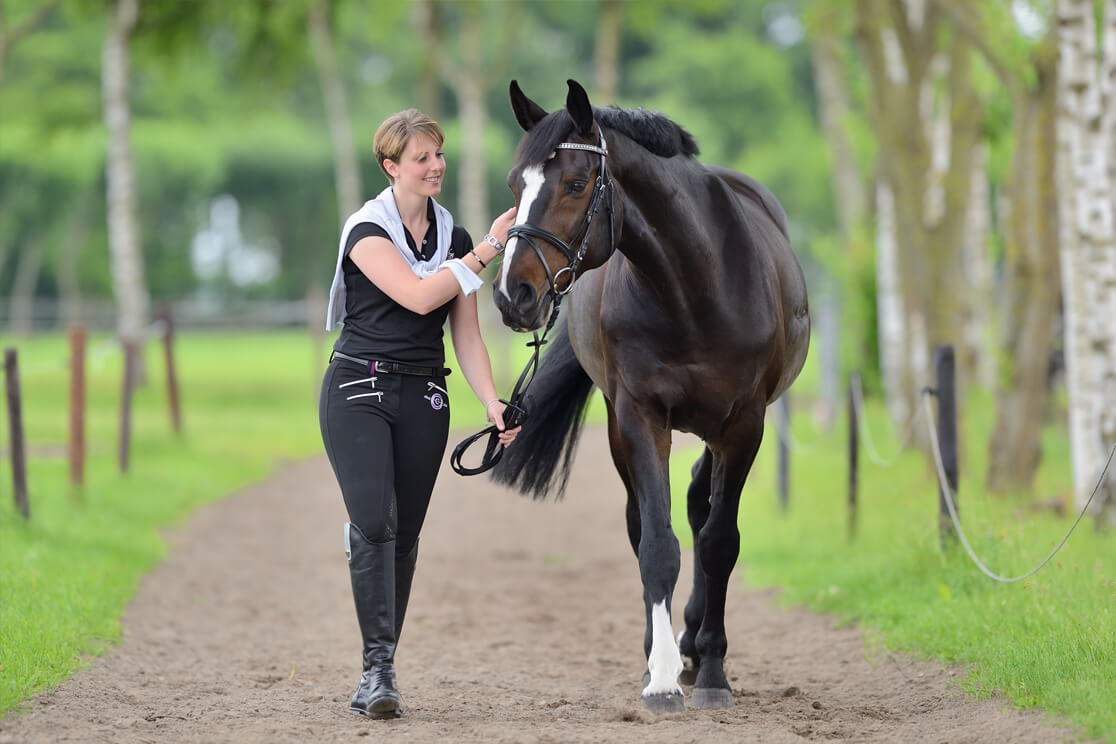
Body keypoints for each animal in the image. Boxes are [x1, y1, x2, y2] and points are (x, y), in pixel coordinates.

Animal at [493, 78, 807, 713]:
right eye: (516, 184)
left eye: (575, 183)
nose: (515, 295)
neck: (695, 288)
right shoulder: (639, 416)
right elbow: (658, 544)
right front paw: (661, 678)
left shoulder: (745, 424)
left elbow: (718, 542)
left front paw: (712, 673)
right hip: (625, 428)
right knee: (644, 520)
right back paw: (661, 652)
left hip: (716, 429)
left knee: (700, 508)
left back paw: (695, 645)